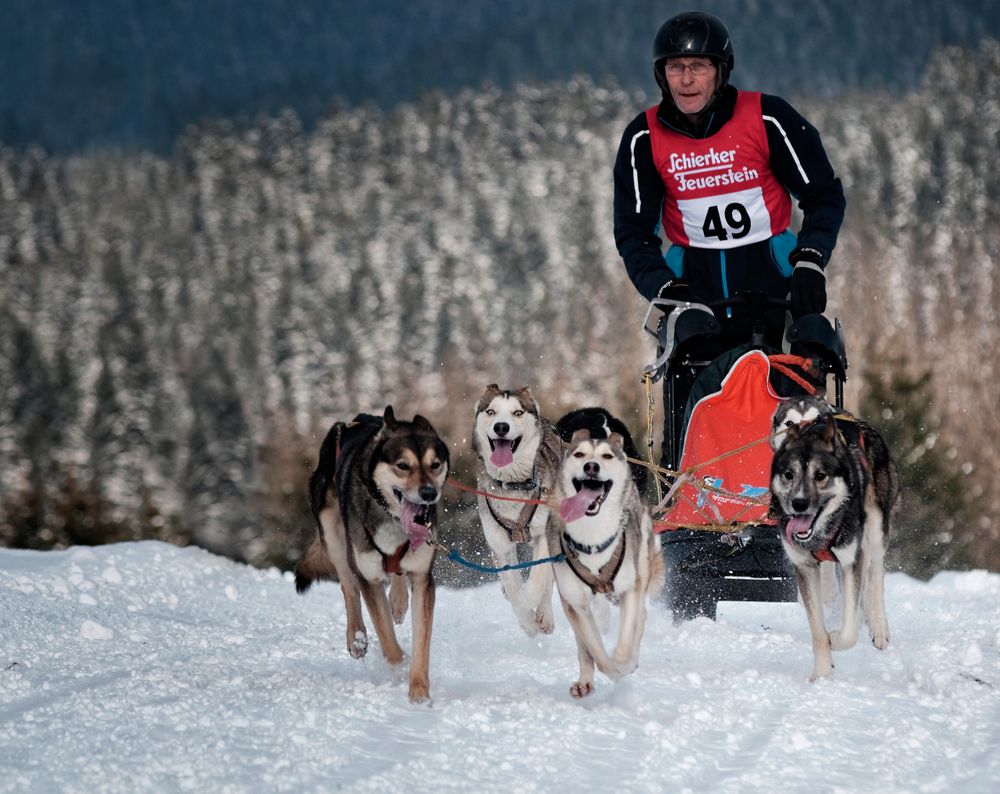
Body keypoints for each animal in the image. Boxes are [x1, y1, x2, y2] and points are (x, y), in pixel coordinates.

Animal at [292, 406, 450, 704]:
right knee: (348, 585)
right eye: (403, 465)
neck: (393, 521)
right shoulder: (369, 579)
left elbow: (422, 641)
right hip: (333, 533)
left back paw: (398, 602)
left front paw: (419, 692)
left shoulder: (423, 577)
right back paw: (356, 637)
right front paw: (400, 667)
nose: (429, 493)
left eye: (435, 464)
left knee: (395, 575)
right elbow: (388, 642)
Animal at [470, 380, 564, 636]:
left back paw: (545, 616)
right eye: (491, 411)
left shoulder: (544, 534)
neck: (513, 484)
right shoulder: (500, 546)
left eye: (518, 412)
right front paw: (527, 621)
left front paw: (530, 602)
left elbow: (538, 579)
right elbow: (512, 585)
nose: (501, 427)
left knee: (548, 580)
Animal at [548, 424, 664, 696]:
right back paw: (585, 681)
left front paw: (624, 663)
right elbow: (595, 651)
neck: (593, 540)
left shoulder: (630, 589)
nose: (591, 466)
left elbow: (626, 637)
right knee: (584, 646)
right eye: (579, 454)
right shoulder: (575, 602)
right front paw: (610, 669)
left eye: (607, 456)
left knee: (640, 618)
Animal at [768, 392, 904, 676]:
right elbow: (818, 631)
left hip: (875, 528)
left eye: (820, 475)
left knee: (875, 573)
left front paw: (837, 636)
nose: (799, 503)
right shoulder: (805, 566)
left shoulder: (852, 558)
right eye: (789, 423)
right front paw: (822, 676)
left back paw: (878, 625)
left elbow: (847, 631)